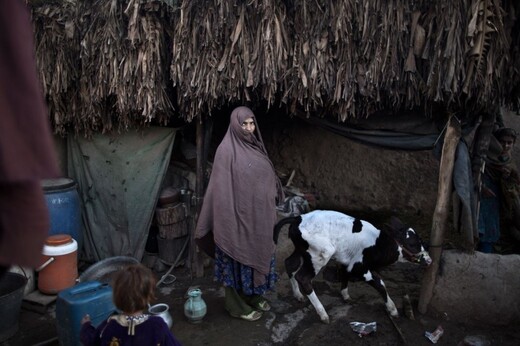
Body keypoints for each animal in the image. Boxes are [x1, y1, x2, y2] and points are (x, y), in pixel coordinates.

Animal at [274, 208, 432, 324]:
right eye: (412, 244)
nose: (429, 260)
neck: (378, 243)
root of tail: (297, 218)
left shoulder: (347, 261)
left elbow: (345, 274)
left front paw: (345, 296)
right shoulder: (359, 267)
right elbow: (380, 283)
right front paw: (392, 309)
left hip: (301, 250)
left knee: (290, 263)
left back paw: (298, 295)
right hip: (321, 253)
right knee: (303, 277)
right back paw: (323, 314)